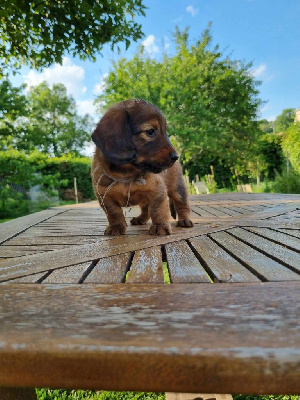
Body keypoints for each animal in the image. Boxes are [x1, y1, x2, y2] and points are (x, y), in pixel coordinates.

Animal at [91, 100, 193, 236]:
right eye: (150, 131)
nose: (175, 157)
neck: (126, 174)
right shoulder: (104, 197)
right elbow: (114, 212)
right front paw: (116, 227)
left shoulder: (157, 191)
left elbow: (157, 209)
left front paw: (160, 226)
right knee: (145, 209)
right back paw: (140, 219)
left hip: (177, 188)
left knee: (182, 204)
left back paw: (185, 220)